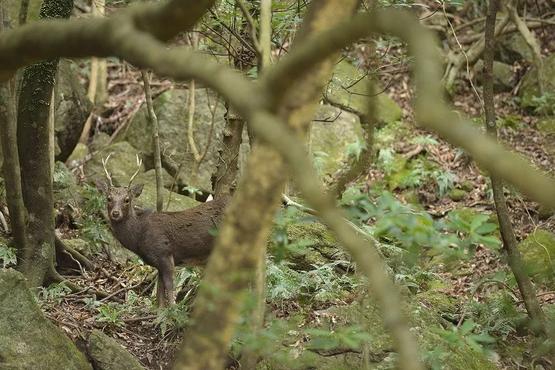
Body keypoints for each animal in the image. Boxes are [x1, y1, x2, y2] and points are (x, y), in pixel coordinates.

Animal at [97, 154, 228, 306]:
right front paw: (160, 310)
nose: (115, 213)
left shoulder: (165, 253)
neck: (139, 236)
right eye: (108, 198)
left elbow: (169, 288)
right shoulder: (158, 262)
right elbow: (159, 293)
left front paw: (172, 308)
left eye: (127, 199)